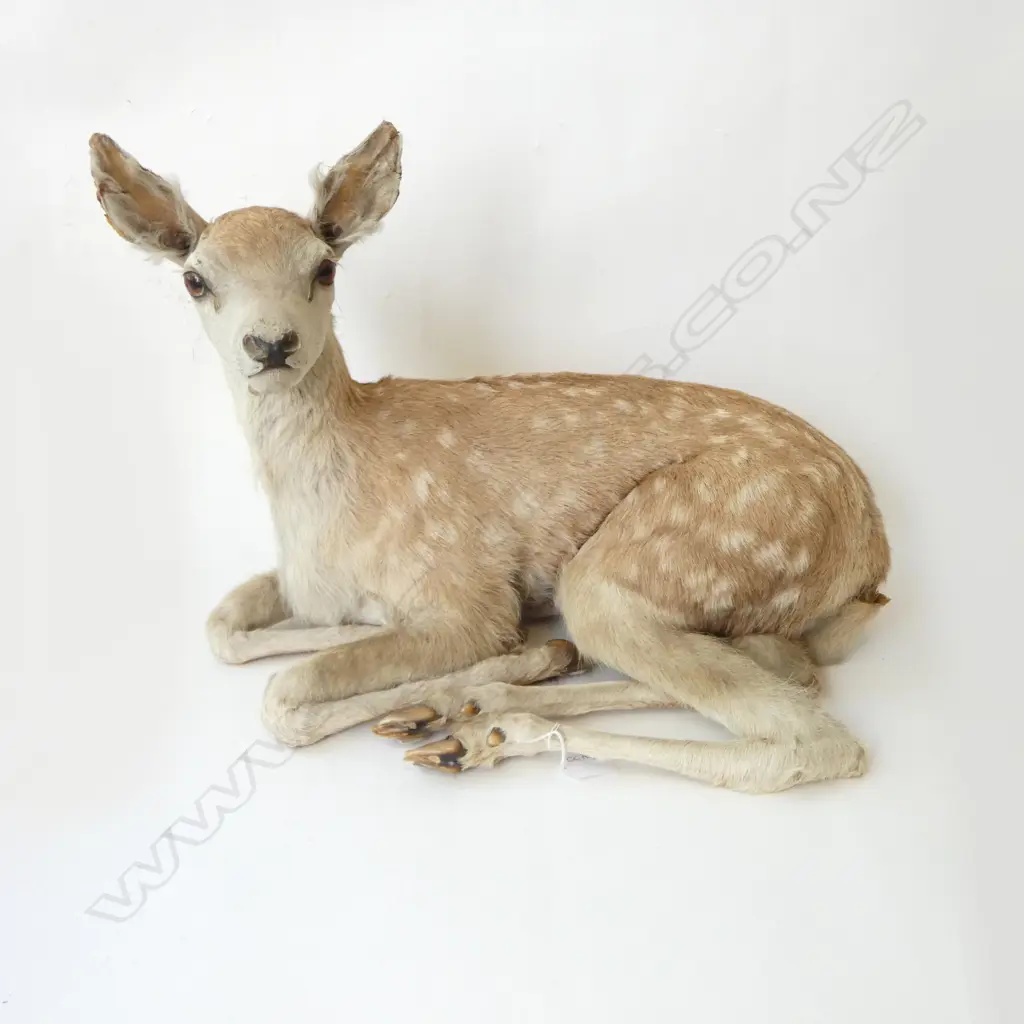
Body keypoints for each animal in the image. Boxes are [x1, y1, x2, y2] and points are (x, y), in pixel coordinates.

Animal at [88, 121, 891, 794]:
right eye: (196, 278)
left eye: (324, 268)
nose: (271, 343)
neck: (324, 498)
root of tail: (872, 559)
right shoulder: (300, 577)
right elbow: (222, 627)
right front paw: (387, 642)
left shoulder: (463, 589)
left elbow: (284, 696)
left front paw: (465, 666)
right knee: (786, 664)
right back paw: (478, 707)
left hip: (661, 554)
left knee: (811, 737)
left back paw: (482, 716)